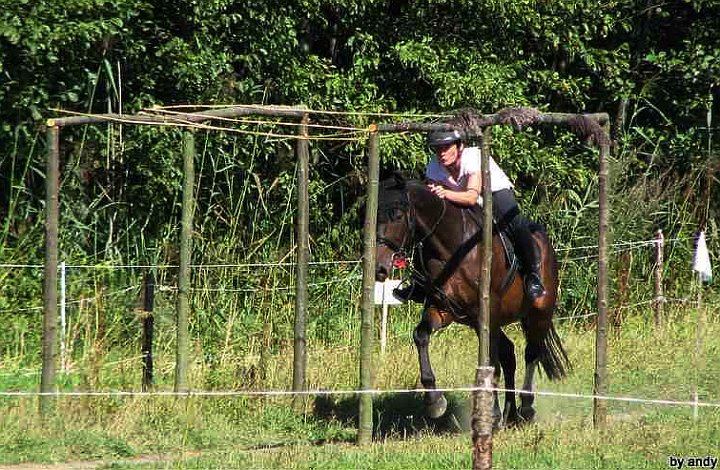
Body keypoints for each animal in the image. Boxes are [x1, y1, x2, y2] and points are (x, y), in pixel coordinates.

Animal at [374, 174, 572, 428]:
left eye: (397, 216)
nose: (380, 269)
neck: (450, 248)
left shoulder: (487, 313)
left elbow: (491, 363)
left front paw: (491, 415)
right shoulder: (443, 309)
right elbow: (421, 336)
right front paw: (434, 401)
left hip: (539, 312)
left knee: (531, 352)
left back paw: (526, 408)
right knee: (509, 354)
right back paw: (510, 413)